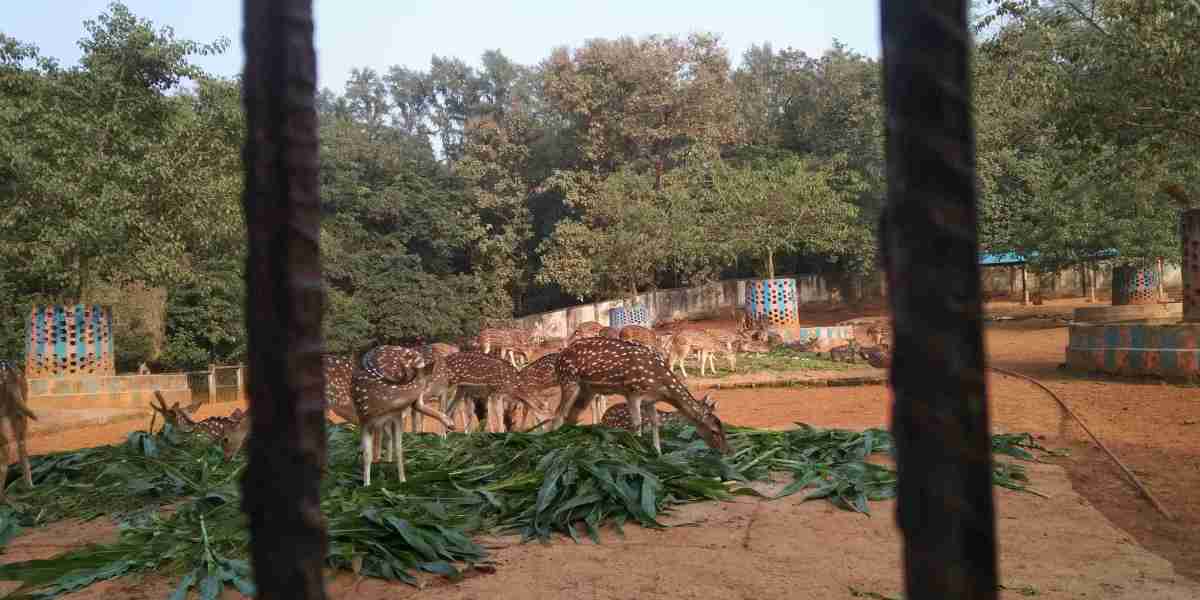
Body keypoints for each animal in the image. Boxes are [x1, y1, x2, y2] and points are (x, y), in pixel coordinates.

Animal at [552, 338, 729, 453]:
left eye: (722, 428)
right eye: (714, 430)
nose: (728, 451)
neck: (661, 388)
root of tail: (558, 358)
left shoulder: (650, 400)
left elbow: (655, 422)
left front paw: (658, 453)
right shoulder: (632, 392)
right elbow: (637, 423)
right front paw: (639, 450)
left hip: (588, 390)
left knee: (572, 416)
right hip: (569, 380)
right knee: (558, 415)